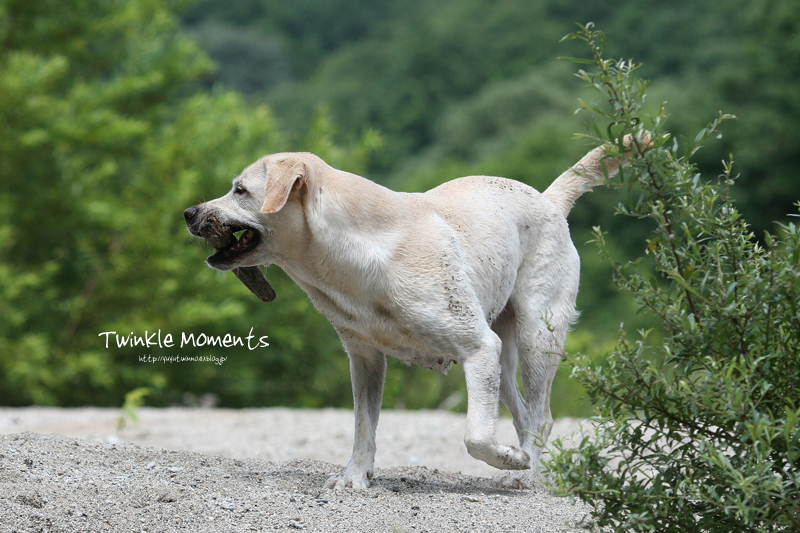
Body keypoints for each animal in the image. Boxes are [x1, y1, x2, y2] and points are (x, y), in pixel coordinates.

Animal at [184, 140, 628, 486]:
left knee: (541, 417)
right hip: (502, 360)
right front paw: (354, 477)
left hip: (538, 337)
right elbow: (363, 427)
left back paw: (526, 471)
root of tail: (548, 200)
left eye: (240, 190)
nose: (189, 213)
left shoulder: (478, 347)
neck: (359, 247)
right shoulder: (365, 359)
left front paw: (509, 459)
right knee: (523, 415)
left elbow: (475, 438)